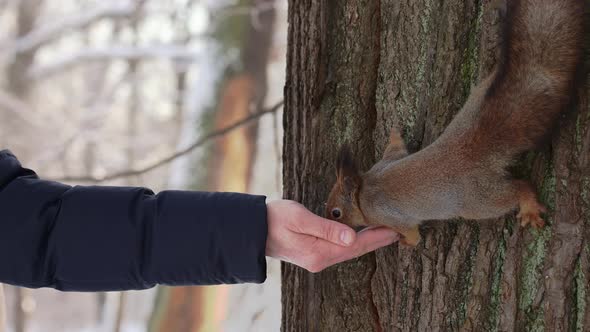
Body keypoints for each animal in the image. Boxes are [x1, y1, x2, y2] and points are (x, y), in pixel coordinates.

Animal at [326, 0, 588, 246]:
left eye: (336, 212)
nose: (330, 219)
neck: (364, 189)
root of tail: (471, 149)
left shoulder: (391, 217)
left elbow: (412, 233)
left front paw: (406, 242)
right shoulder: (387, 161)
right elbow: (397, 149)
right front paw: (394, 133)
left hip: (479, 200)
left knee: (517, 189)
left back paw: (528, 205)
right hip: (477, 99)